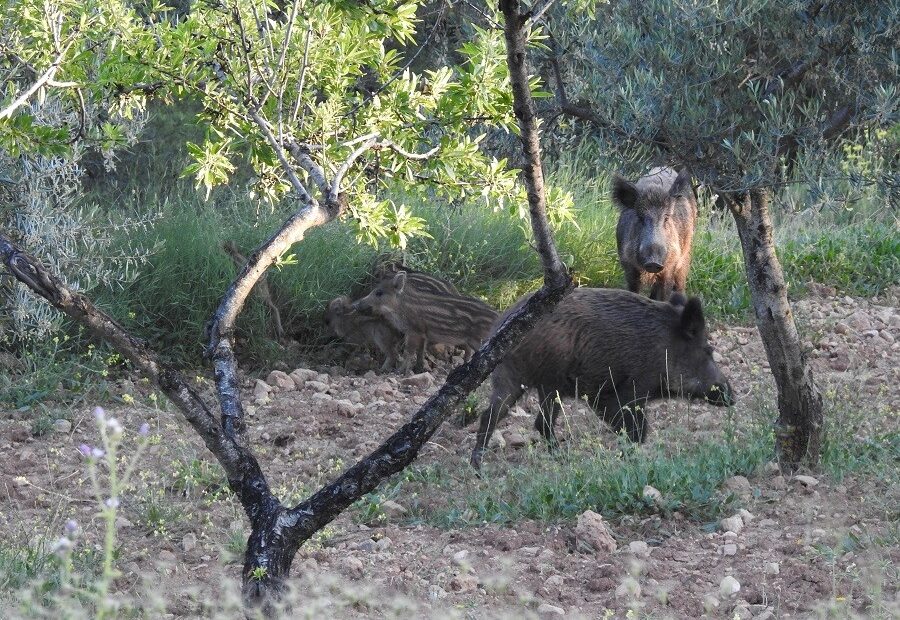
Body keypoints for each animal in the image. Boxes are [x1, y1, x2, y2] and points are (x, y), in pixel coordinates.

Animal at [353, 271, 498, 373]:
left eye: (379, 293)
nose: (356, 305)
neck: (401, 308)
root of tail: (496, 315)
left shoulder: (414, 331)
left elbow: (408, 352)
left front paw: (400, 371)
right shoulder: (423, 333)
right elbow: (420, 351)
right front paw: (418, 369)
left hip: (479, 340)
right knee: (469, 352)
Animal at [469, 288, 734, 469]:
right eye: (708, 350)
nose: (731, 396)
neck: (665, 348)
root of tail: (499, 327)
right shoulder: (631, 390)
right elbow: (637, 430)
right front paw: (631, 459)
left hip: (515, 380)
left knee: (501, 417)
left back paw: (481, 467)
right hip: (545, 381)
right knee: (532, 421)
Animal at [613, 167, 697, 301]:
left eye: (666, 218)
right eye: (640, 217)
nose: (653, 262)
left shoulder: (670, 265)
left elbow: (665, 292)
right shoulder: (628, 264)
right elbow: (633, 289)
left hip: (685, 256)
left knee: (680, 285)